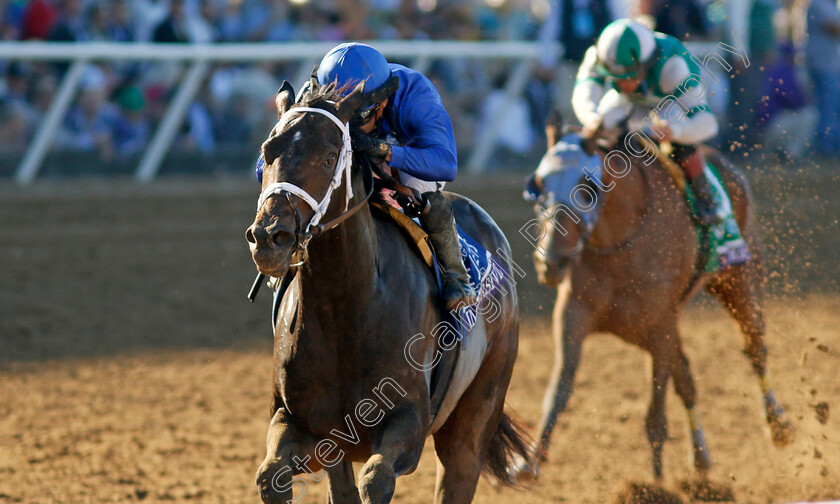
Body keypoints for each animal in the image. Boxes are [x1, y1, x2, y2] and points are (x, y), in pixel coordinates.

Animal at [244, 79, 532, 504]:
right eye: (267, 152)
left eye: (329, 157)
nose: (268, 237)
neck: (345, 311)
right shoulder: (303, 425)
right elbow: (271, 478)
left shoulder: (410, 422)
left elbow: (377, 479)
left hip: (476, 412)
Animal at [524, 115, 796, 480]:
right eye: (539, 185)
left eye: (588, 188)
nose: (551, 261)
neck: (621, 244)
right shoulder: (574, 315)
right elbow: (558, 391)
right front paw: (528, 463)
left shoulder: (660, 326)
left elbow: (656, 415)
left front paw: (656, 484)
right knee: (688, 380)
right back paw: (701, 457)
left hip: (740, 280)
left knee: (756, 348)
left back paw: (778, 426)